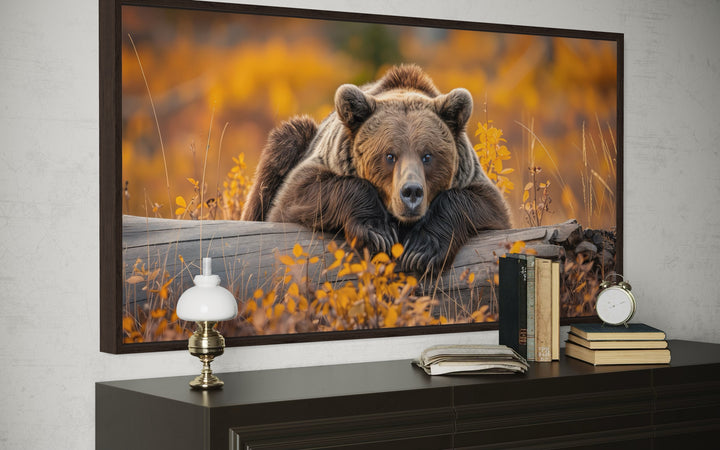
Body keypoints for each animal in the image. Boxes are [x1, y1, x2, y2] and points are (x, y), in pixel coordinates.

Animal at [242, 64, 511, 274]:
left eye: (427, 156)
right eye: (389, 155)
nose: (411, 192)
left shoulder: (472, 177)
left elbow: (485, 205)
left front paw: (421, 249)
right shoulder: (322, 164)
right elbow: (296, 196)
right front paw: (378, 234)